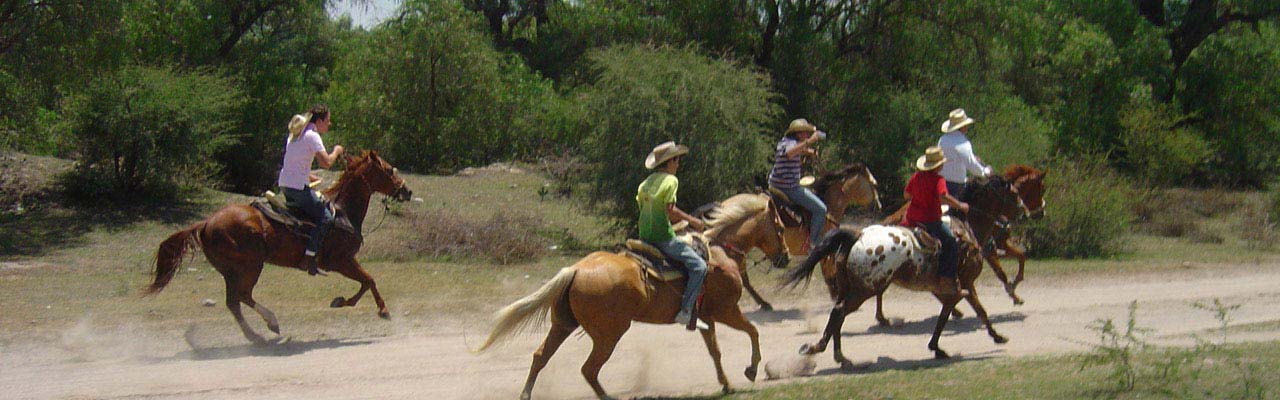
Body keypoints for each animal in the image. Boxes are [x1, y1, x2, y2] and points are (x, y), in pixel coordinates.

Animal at [147, 151, 412, 341]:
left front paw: (346, 302)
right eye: (389, 169)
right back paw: (269, 325)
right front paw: (379, 310)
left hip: (231, 270)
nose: (407, 190)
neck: (343, 211)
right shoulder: (340, 261)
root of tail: (205, 223)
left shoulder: (344, 262)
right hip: (249, 266)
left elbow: (367, 281)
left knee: (234, 301)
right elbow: (369, 280)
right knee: (241, 296)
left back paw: (259, 334)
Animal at [476, 198, 783, 397]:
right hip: (609, 334)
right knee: (589, 369)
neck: (719, 252)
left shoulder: (706, 318)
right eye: (781, 228)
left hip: (563, 324)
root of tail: (576, 270)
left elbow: (715, 351)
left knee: (541, 356)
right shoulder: (726, 311)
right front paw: (751, 370)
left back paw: (527, 394)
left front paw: (727, 383)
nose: (784, 257)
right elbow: (753, 332)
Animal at [778, 219, 998, 366]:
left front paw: (936, 347)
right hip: (862, 292)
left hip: (848, 289)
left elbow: (946, 316)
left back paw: (839, 356)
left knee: (837, 316)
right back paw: (822, 349)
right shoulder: (965, 285)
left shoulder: (950, 292)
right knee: (838, 312)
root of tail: (857, 236)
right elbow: (979, 309)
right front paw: (997, 336)